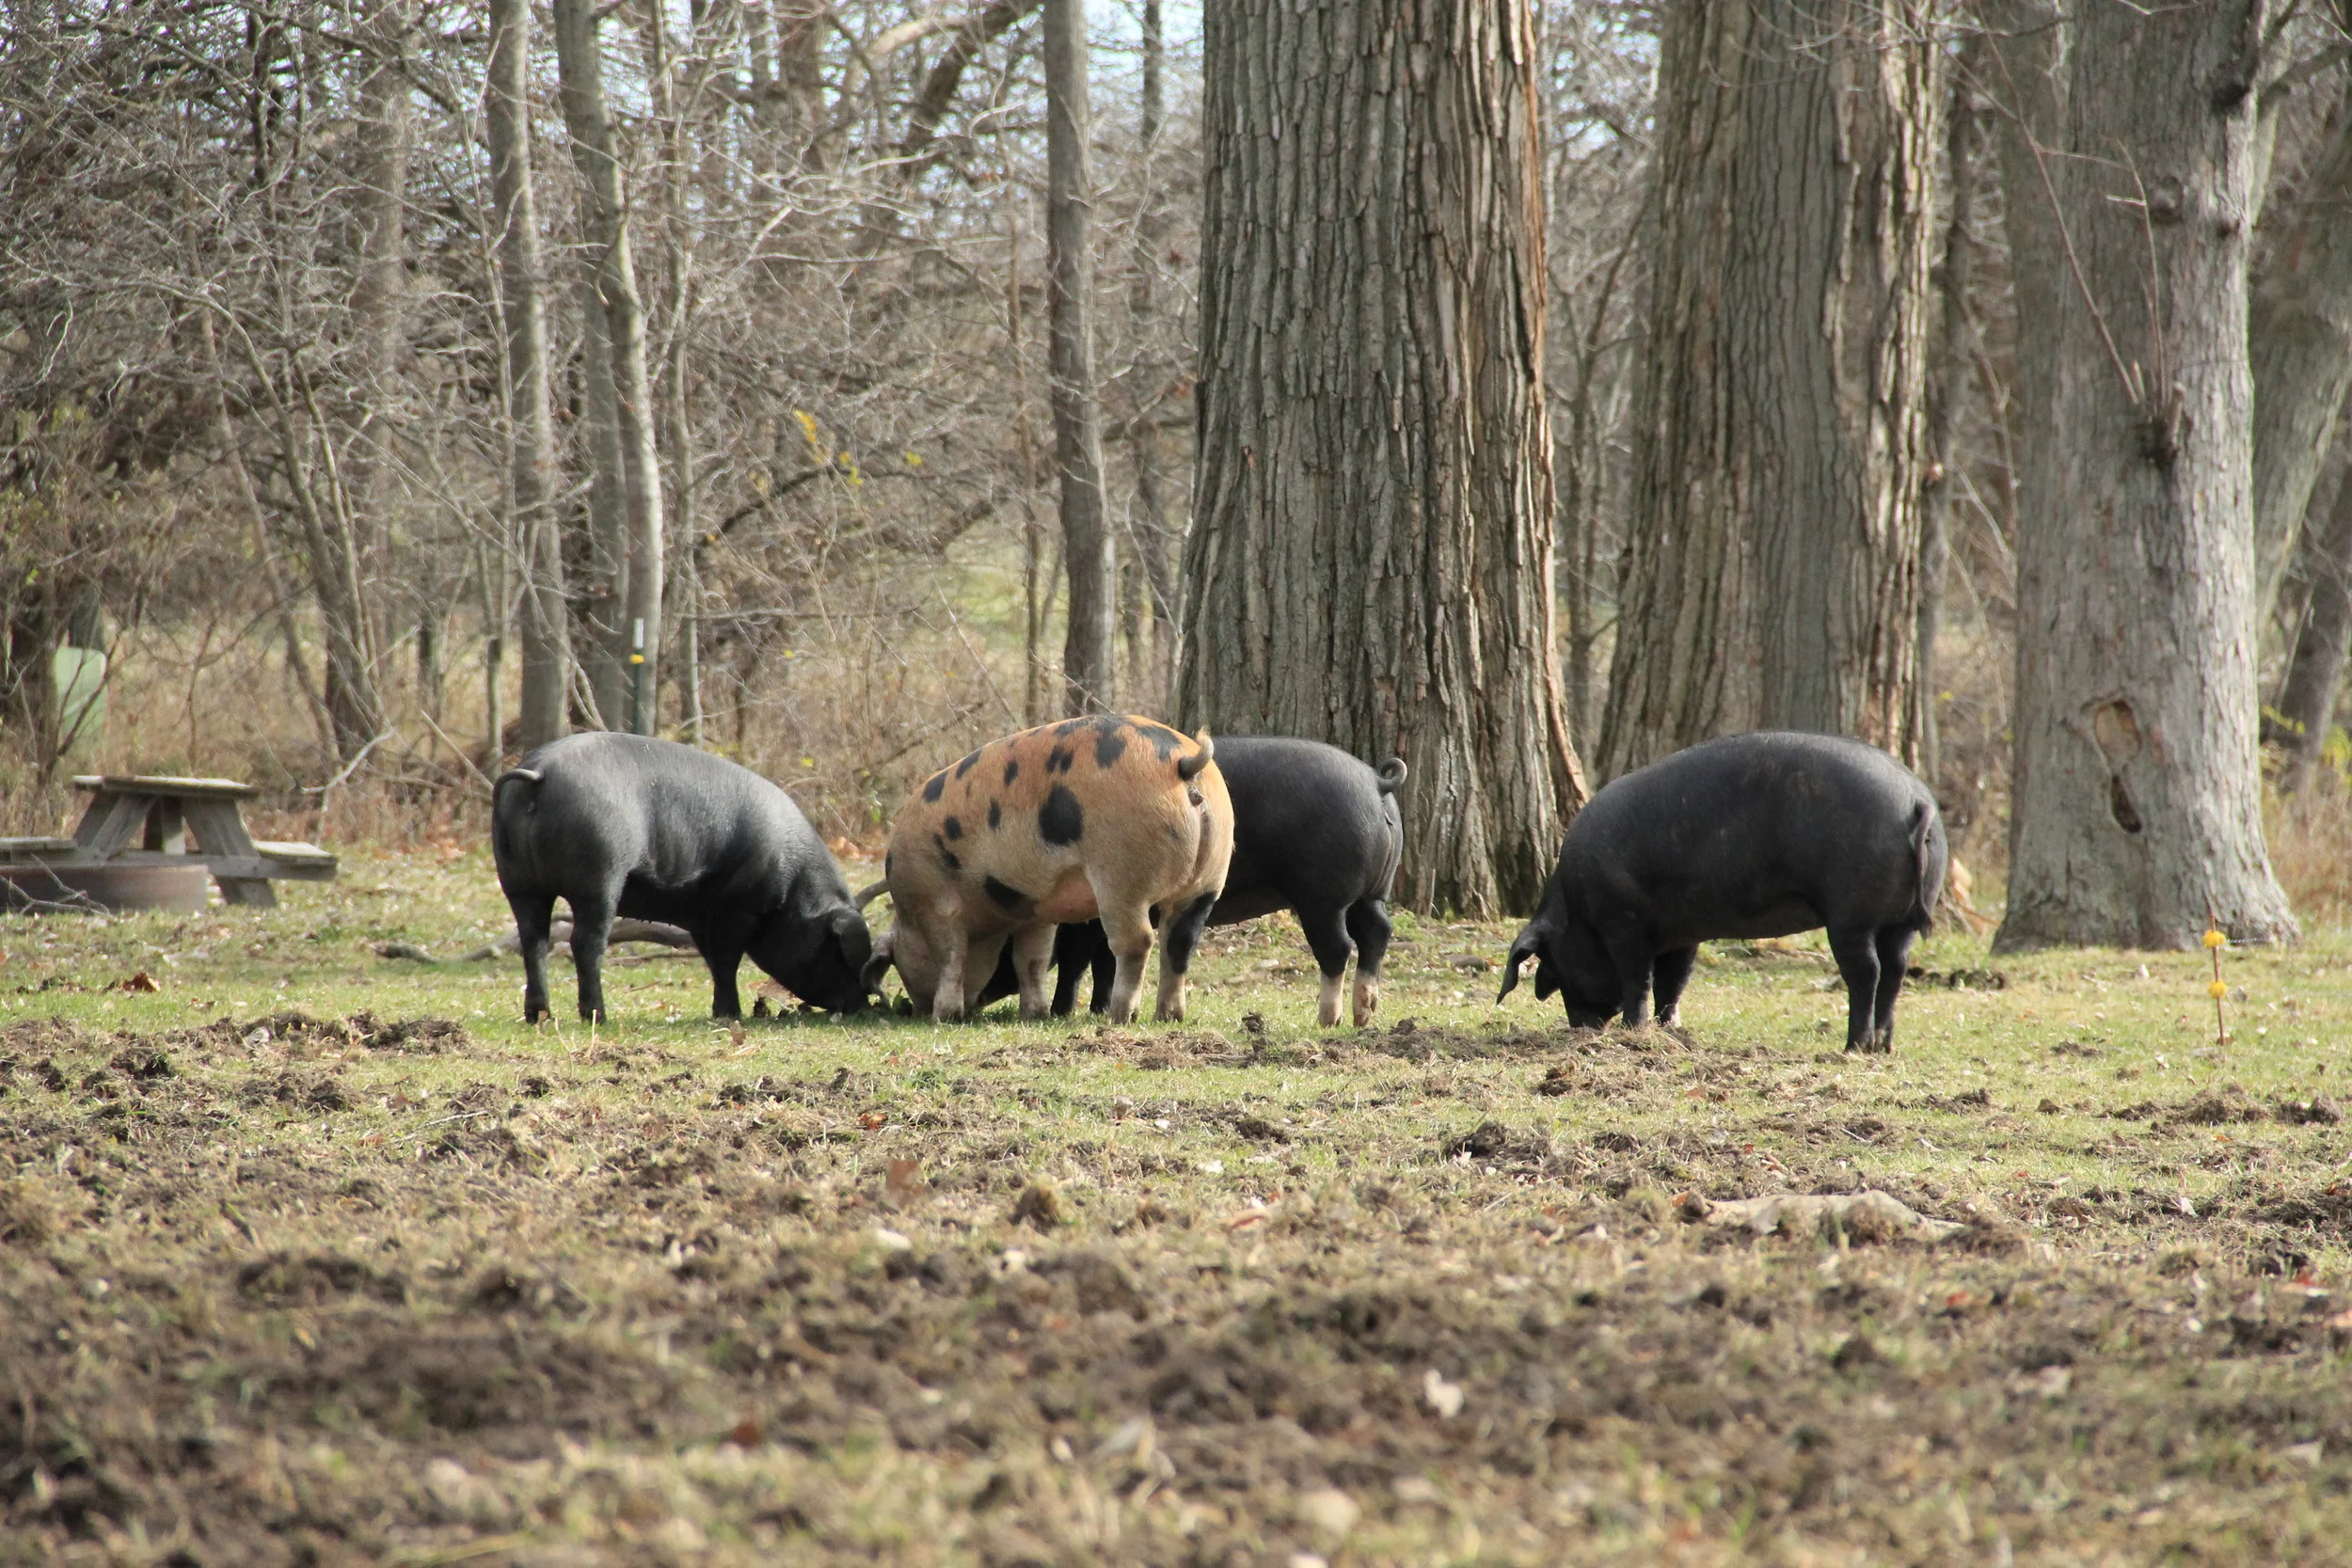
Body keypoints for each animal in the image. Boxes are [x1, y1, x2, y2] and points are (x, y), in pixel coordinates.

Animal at [490, 732, 872, 1023]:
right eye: (837, 951)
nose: (862, 1005)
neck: (793, 892)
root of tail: (539, 773)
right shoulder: (739, 905)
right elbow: (727, 959)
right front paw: (731, 1015)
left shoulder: (700, 915)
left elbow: (714, 961)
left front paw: (724, 1012)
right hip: (599, 877)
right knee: (584, 943)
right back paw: (597, 1016)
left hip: (518, 883)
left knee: (534, 942)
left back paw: (540, 1016)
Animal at [864, 715, 1233, 1024]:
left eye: (897, 961)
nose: (914, 1010)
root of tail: (1183, 763)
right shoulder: (1034, 911)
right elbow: (1031, 959)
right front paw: (1035, 1015)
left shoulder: (937, 904)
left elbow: (951, 957)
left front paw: (945, 1017)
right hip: (1209, 878)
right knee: (1181, 942)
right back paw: (1169, 1017)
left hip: (1121, 874)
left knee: (1137, 941)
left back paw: (1120, 1017)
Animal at [970, 737, 1407, 1027]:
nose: (974, 1003)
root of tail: (1376, 782)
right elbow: (1104, 962)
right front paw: (1096, 1010)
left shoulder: (1086, 915)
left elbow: (1080, 960)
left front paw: (1065, 1013)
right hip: (1373, 893)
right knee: (1377, 933)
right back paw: (1363, 1016)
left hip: (1323, 897)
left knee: (1339, 947)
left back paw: (1328, 1020)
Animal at [1498, 731, 1946, 1053]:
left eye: (1554, 962)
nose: (1579, 1028)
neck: (1576, 909)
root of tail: (1916, 801)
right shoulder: (1681, 933)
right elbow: (1673, 982)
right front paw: (1669, 1031)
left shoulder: (1623, 923)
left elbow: (1637, 980)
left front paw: (1633, 1032)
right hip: (1899, 922)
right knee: (1896, 969)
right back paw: (1883, 1047)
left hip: (1851, 915)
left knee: (1867, 972)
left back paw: (1854, 1047)